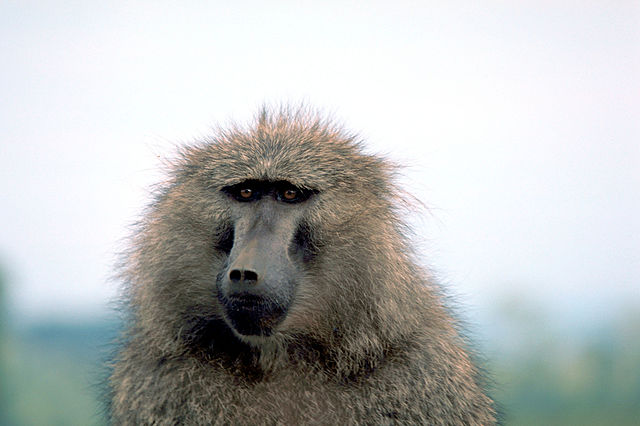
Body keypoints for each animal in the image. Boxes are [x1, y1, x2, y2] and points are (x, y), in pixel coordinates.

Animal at [108, 106, 496, 425]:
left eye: (290, 194)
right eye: (246, 193)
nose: (245, 272)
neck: (279, 357)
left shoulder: (417, 371)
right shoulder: (166, 374)